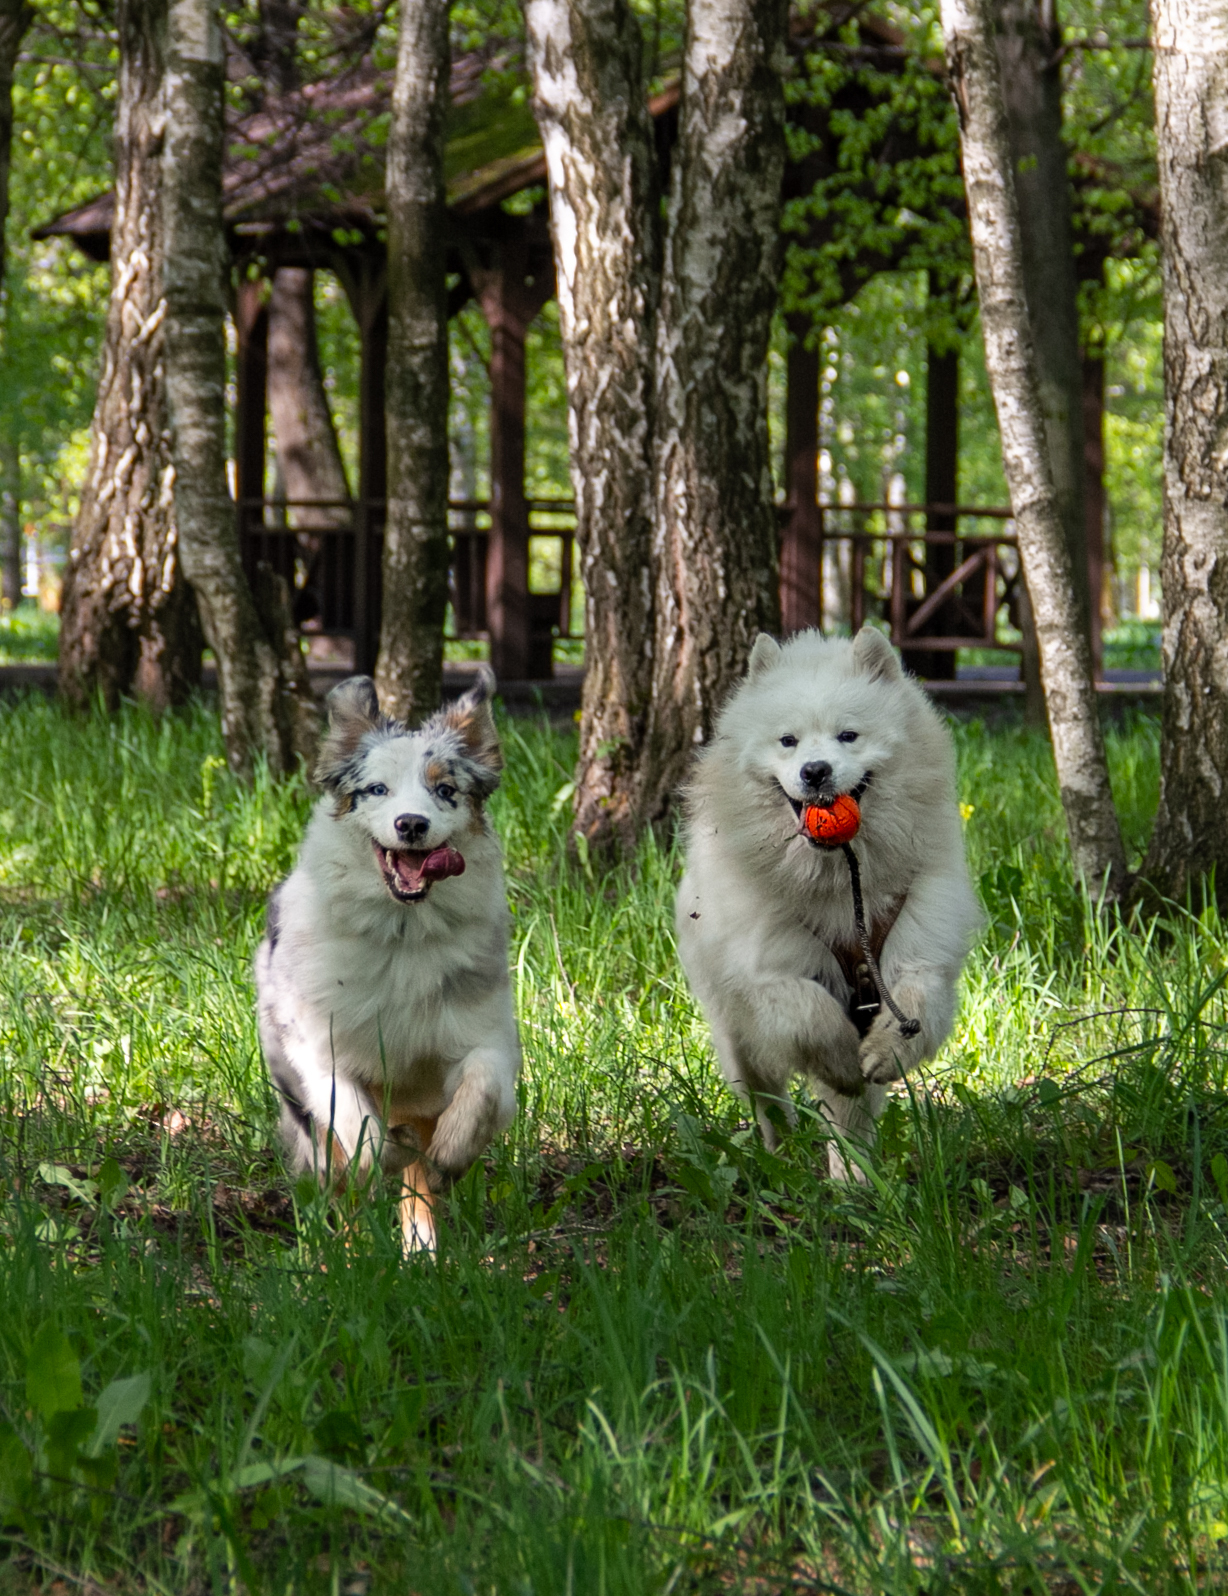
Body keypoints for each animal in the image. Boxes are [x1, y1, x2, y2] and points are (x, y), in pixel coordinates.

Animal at [255, 667, 523, 1251]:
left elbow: (484, 1085)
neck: (404, 934)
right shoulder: (322, 1051)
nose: (411, 824)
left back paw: (422, 1253)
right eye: (376, 789)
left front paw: (452, 1152)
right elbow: (359, 1132)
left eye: (445, 790)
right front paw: (383, 1151)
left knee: (418, 1195)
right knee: (339, 1179)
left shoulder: (485, 1036)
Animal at [670, 628, 977, 1181]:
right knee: (768, 1102)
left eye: (848, 736)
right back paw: (782, 1157)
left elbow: (916, 1003)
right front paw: (840, 1057)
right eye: (787, 741)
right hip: (736, 1035)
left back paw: (855, 1181)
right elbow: (811, 1013)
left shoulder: (920, 951)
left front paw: (885, 1050)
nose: (815, 771)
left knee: (851, 1121)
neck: (837, 883)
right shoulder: (768, 975)